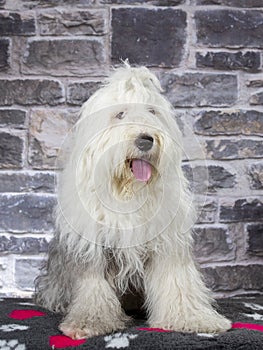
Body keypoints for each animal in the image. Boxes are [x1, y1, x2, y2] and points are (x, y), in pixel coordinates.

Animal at [34, 63, 231, 340]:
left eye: (152, 111)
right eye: (120, 114)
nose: (145, 139)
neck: (129, 193)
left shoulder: (167, 241)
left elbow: (176, 282)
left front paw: (193, 319)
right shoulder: (92, 247)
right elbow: (93, 288)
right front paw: (88, 323)